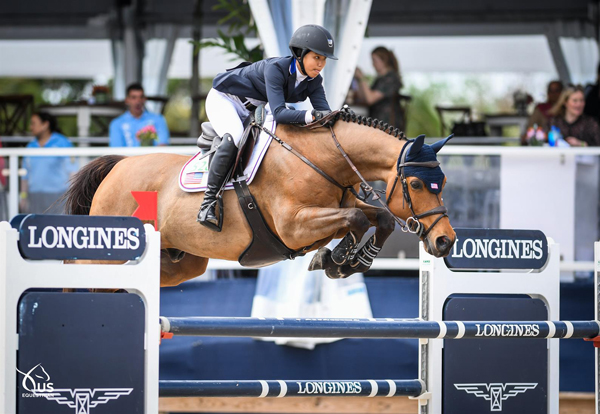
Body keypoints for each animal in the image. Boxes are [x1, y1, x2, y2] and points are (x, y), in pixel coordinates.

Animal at [64, 114, 454, 288]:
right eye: (416, 184)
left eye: (444, 182)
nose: (445, 241)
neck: (321, 158)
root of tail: (117, 167)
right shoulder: (294, 226)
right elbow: (356, 222)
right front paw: (336, 260)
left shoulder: (340, 206)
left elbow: (379, 219)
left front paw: (348, 263)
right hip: (108, 253)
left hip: (182, 262)